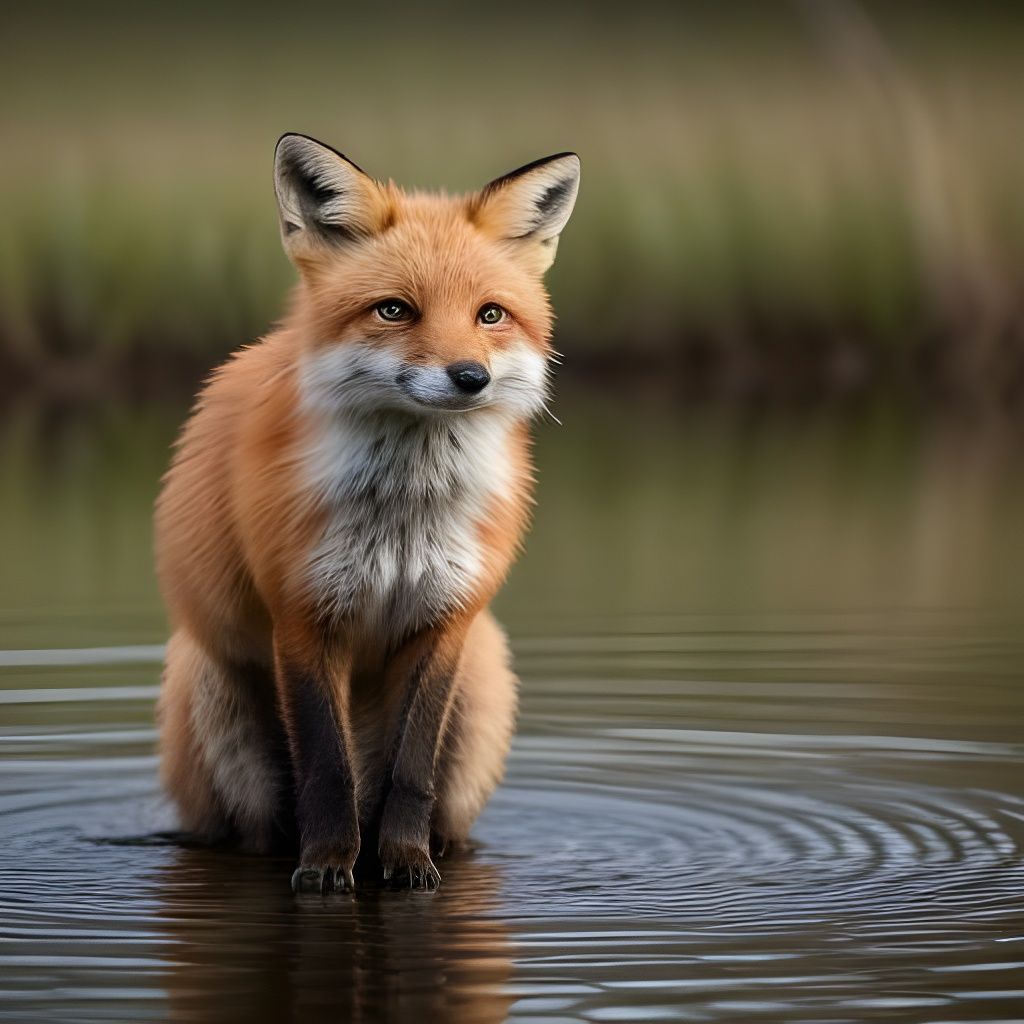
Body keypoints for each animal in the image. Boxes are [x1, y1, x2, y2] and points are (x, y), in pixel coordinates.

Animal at [154, 133, 580, 893]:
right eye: (395, 311)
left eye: (490, 315)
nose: (471, 377)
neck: (402, 520)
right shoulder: (302, 619)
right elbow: (328, 769)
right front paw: (328, 867)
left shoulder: (444, 623)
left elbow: (407, 775)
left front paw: (404, 862)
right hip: (225, 712)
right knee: (265, 826)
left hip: (481, 697)